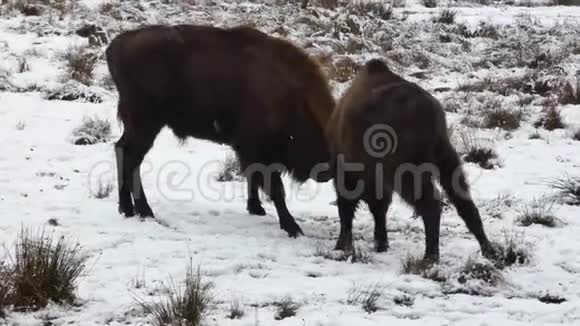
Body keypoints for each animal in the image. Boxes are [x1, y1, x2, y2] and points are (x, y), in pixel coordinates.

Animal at [105, 24, 336, 237]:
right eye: (317, 139)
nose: (325, 173)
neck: (292, 96)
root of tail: (116, 45)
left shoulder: (250, 150)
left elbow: (254, 178)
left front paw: (256, 209)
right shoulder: (256, 149)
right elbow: (275, 188)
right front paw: (292, 227)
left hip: (139, 125)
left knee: (123, 152)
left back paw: (127, 209)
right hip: (145, 124)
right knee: (131, 157)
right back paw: (143, 211)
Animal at [326, 58, 494, 262]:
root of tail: (430, 111)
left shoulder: (347, 174)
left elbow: (348, 208)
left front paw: (342, 246)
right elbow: (378, 208)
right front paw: (381, 244)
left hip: (407, 173)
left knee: (431, 206)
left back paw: (430, 256)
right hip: (446, 158)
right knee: (465, 204)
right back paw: (488, 250)